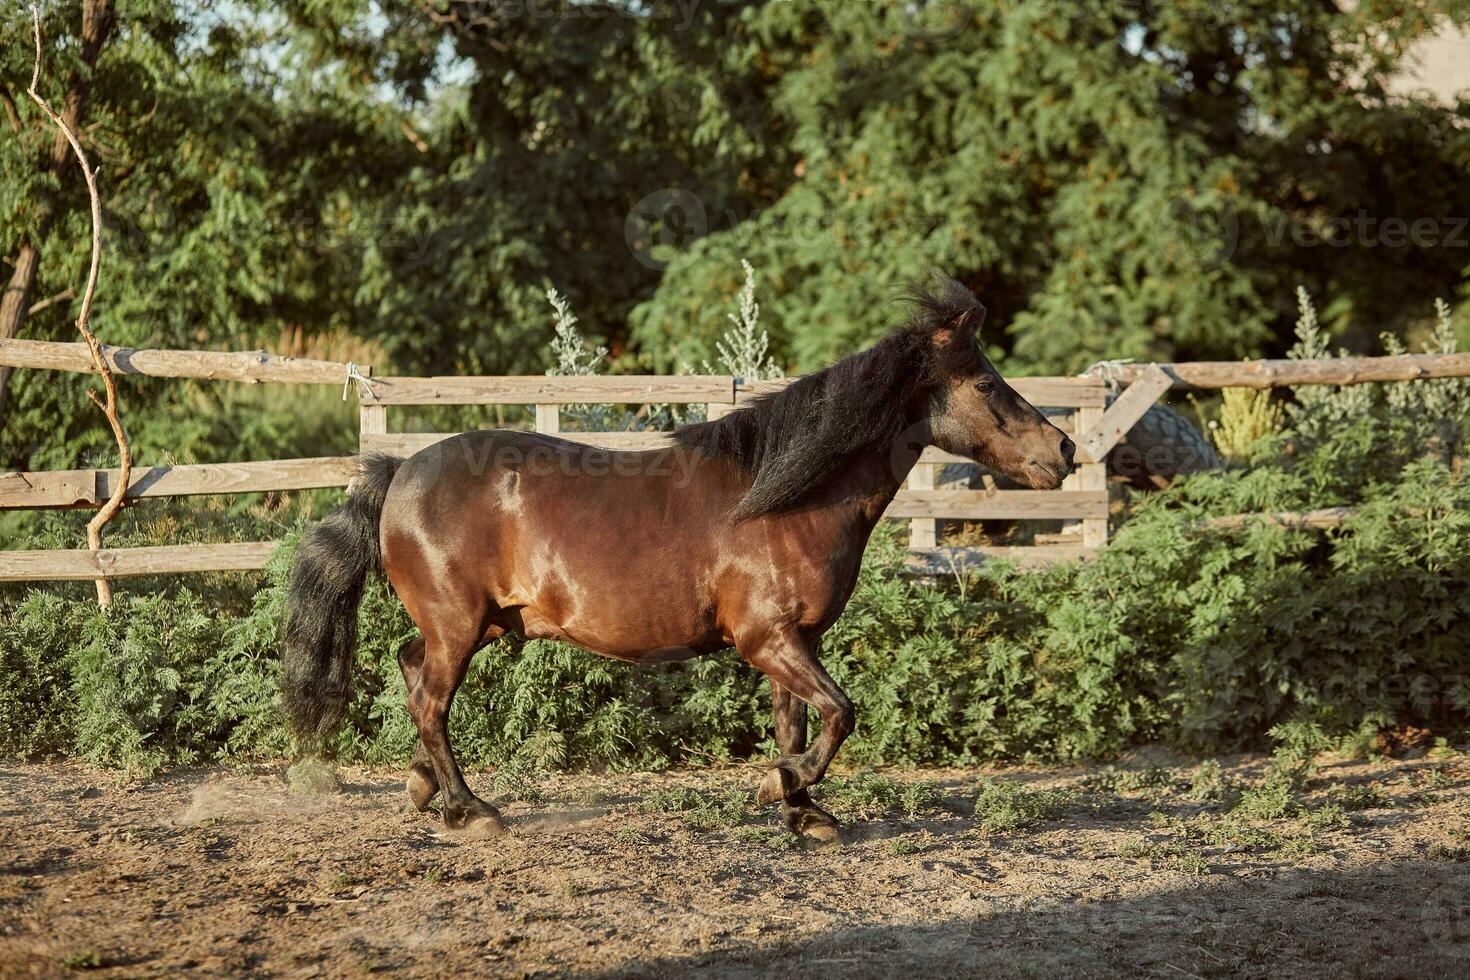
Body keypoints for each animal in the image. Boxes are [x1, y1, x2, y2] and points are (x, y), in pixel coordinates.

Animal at [280, 279, 1076, 840]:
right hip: (458, 624)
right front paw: (777, 788)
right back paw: (469, 809)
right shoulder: (767, 640)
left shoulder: (792, 642)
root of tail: (399, 473)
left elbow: (798, 724)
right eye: (985, 384)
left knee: (415, 678)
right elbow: (841, 714)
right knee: (430, 699)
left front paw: (802, 810)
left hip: (478, 625)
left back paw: (426, 790)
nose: (1063, 451)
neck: (782, 501)